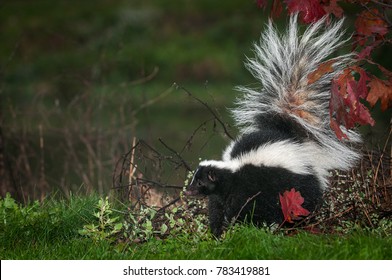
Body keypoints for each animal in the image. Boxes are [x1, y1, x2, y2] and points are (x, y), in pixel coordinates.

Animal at [185, 15, 362, 237]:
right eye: (194, 179)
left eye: (200, 182)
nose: (188, 190)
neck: (232, 171)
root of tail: (292, 138)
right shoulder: (221, 195)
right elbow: (217, 209)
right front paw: (217, 232)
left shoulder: (249, 187)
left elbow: (246, 208)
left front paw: (242, 227)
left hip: (297, 183)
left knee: (306, 199)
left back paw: (299, 222)